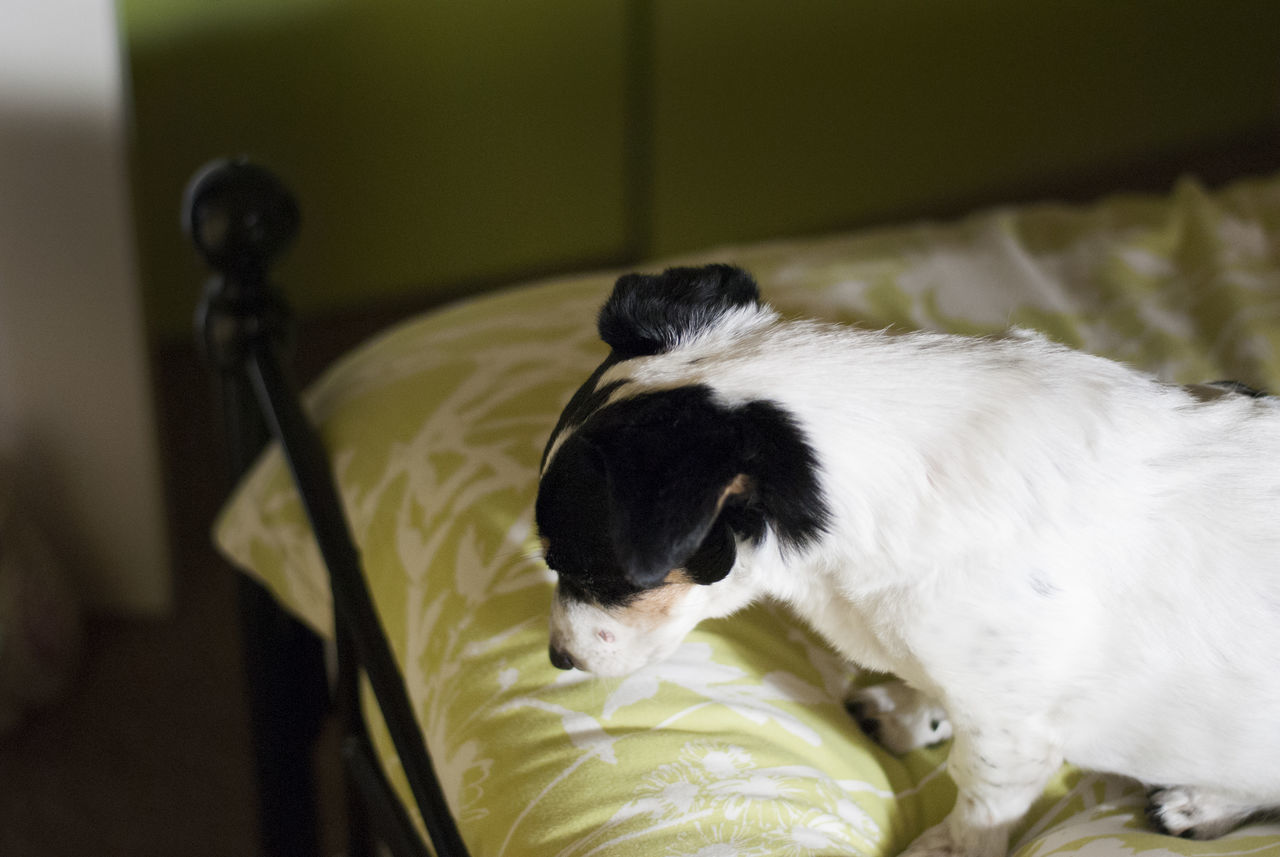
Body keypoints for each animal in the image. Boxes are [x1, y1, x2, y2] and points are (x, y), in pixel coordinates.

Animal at [532, 264, 1280, 854]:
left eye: (595, 571)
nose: (557, 659)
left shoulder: (1011, 731)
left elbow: (979, 802)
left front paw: (949, 844)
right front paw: (909, 712)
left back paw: (1202, 802)